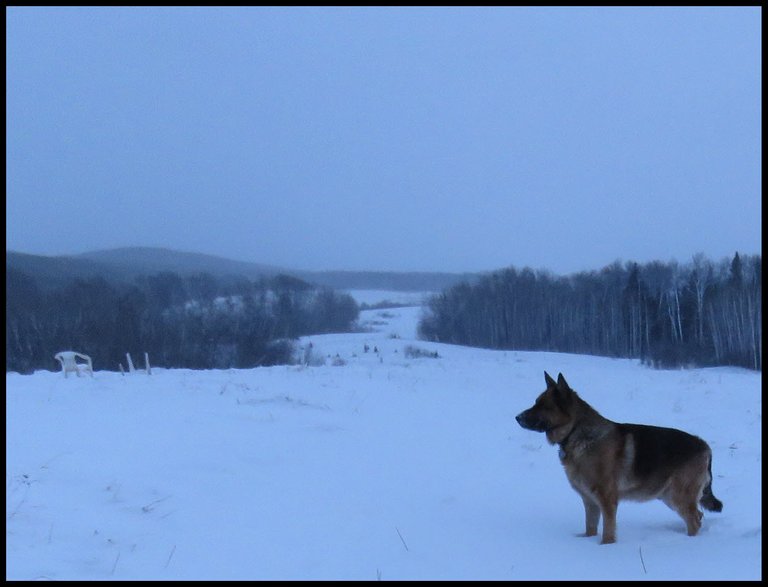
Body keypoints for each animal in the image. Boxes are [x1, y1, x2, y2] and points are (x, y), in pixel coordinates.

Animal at [516, 374, 720, 544]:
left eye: (543, 406)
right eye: (536, 402)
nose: (517, 417)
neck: (576, 431)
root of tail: (704, 445)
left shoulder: (607, 498)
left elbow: (608, 531)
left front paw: (606, 548)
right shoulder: (589, 501)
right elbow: (590, 527)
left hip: (678, 495)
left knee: (694, 520)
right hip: (668, 495)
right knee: (698, 516)